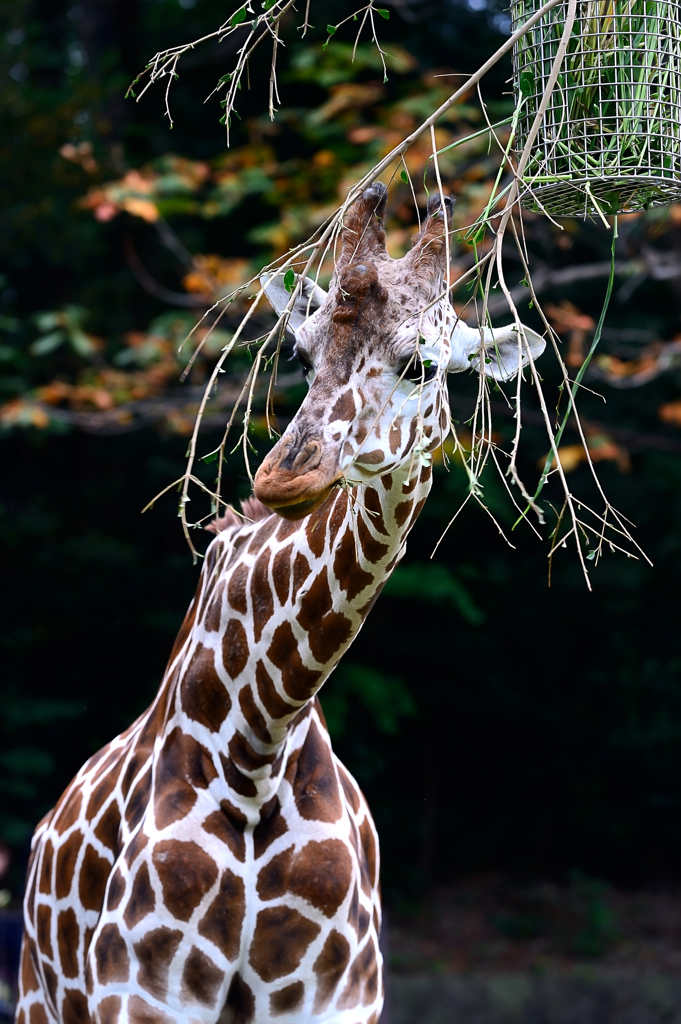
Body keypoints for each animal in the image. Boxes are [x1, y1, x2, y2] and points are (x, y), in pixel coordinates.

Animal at [14, 184, 540, 1024]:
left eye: (421, 365)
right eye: (299, 353)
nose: (286, 477)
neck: (260, 741)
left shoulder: (338, 998)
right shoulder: (142, 995)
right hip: (41, 996)